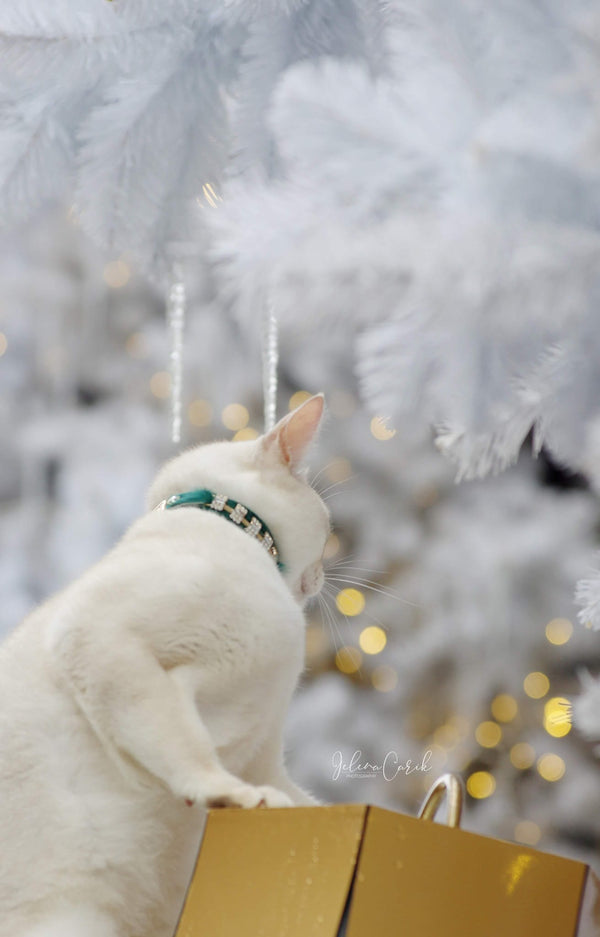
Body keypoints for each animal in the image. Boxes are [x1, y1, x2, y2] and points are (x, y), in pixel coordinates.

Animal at [0, 392, 328, 932]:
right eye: (328, 524)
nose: (323, 575)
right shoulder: (97, 633)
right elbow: (181, 743)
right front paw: (226, 792)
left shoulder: (261, 755)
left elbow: (308, 801)